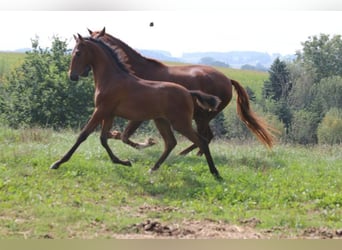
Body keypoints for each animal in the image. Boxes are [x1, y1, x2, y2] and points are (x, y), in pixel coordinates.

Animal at [49, 34, 223, 180]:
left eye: (78, 53)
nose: (72, 76)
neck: (111, 78)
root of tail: (188, 92)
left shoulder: (101, 110)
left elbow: (83, 135)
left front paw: (57, 163)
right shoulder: (109, 114)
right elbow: (104, 138)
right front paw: (124, 162)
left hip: (180, 123)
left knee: (201, 141)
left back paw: (215, 173)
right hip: (161, 121)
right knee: (170, 143)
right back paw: (152, 169)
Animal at [89, 28, 276, 155]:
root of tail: (227, 80)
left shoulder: (139, 115)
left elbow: (125, 136)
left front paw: (148, 142)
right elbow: (119, 135)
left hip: (202, 116)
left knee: (205, 136)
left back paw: (186, 154)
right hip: (201, 116)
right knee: (206, 136)